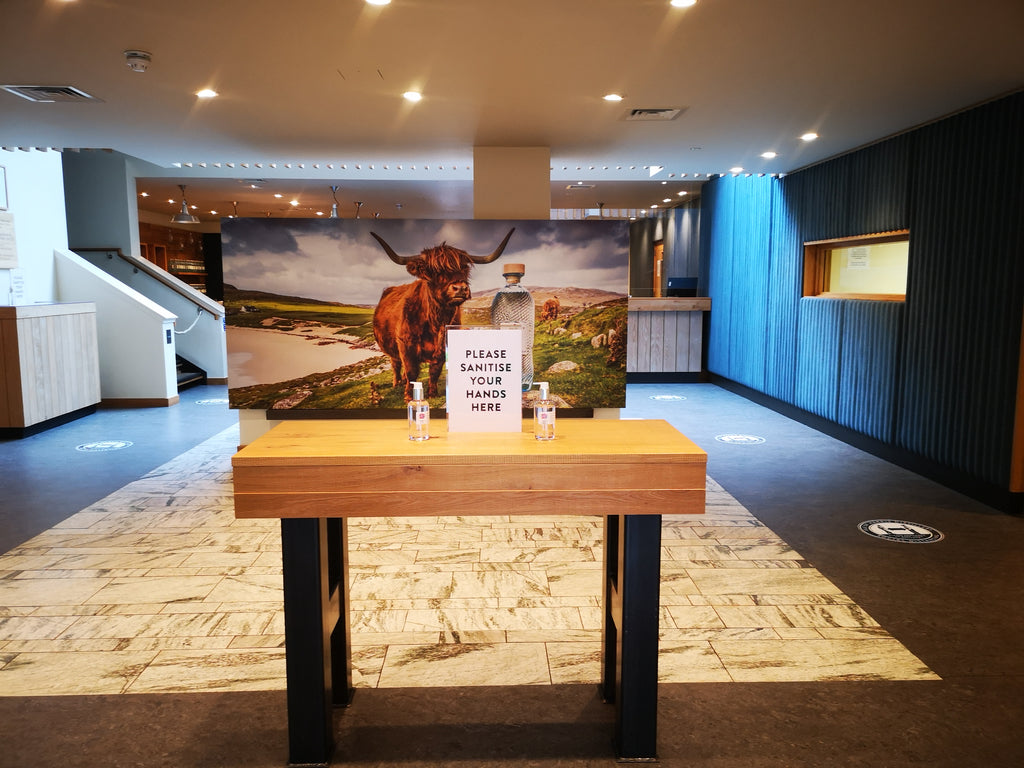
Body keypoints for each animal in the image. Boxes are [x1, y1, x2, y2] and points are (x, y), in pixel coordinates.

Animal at [368, 230, 516, 403]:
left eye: (464, 268)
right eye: (435, 270)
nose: (460, 288)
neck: (436, 321)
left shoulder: (443, 346)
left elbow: (435, 370)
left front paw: (432, 394)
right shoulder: (406, 345)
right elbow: (412, 371)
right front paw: (409, 397)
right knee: (396, 364)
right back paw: (397, 382)